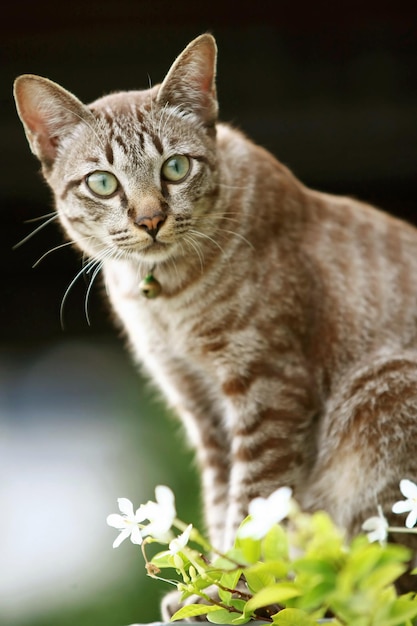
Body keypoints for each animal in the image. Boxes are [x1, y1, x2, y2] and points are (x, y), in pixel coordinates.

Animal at [12, 31, 416, 608]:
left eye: (175, 168)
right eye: (103, 183)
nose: (150, 218)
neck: (161, 299)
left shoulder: (268, 388)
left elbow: (255, 506)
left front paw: (238, 587)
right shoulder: (199, 404)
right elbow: (223, 501)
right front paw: (212, 585)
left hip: (382, 391)